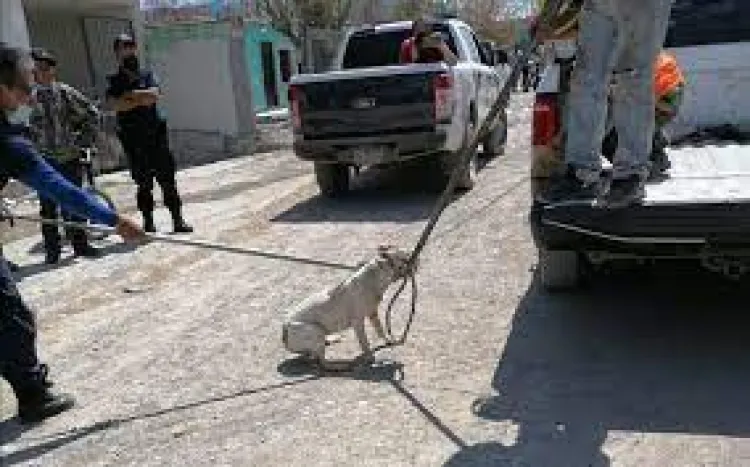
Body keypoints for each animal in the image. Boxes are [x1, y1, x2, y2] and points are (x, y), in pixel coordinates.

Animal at [282, 245, 414, 370]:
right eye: (404, 258)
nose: (414, 255)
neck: (375, 275)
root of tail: (284, 329)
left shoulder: (373, 313)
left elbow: (380, 330)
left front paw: (389, 341)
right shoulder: (358, 323)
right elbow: (365, 343)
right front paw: (370, 357)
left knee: (315, 354)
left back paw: (330, 339)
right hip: (315, 330)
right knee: (322, 363)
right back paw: (341, 365)